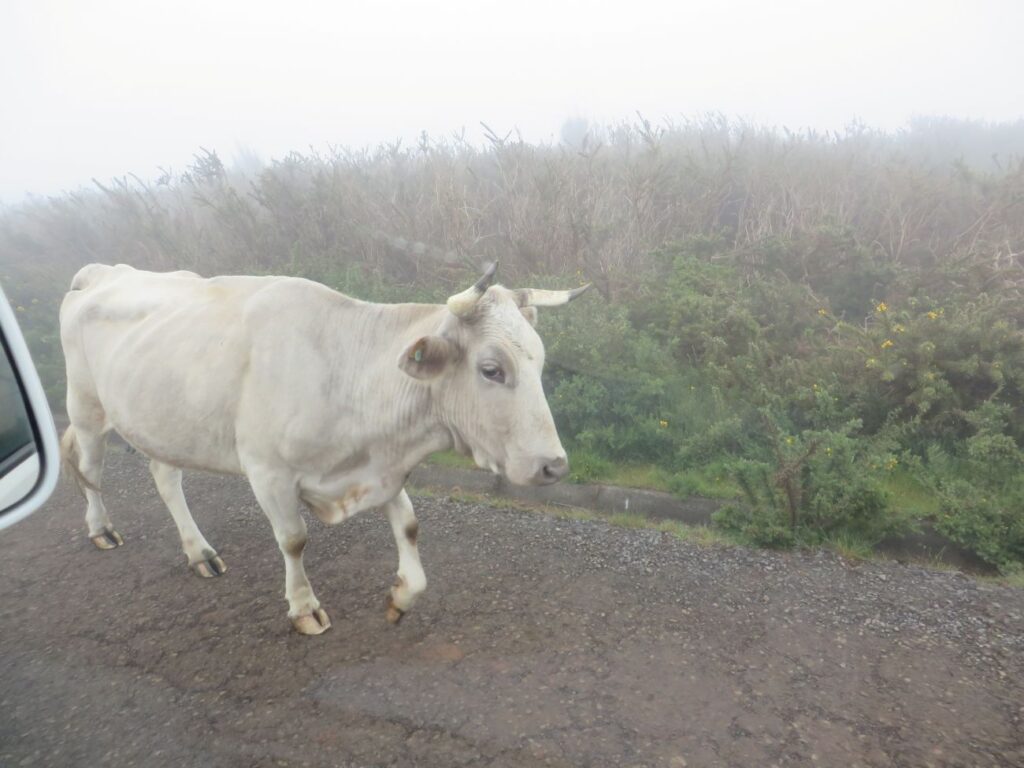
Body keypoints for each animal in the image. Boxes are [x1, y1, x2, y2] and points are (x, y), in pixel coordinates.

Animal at [59, 262, 589, 634]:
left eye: (539, 360)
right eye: (491, 369)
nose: (554, 466)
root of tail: (102, 271)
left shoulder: (381, 465)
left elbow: (410, 527)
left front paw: (400, 598)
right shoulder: (268, 472)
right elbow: (294, 539)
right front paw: (303, 608)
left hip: (161, 419)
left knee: (166, 477)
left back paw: (199, 553)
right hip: (86, 408)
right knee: (91, 469)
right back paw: (101, 529)